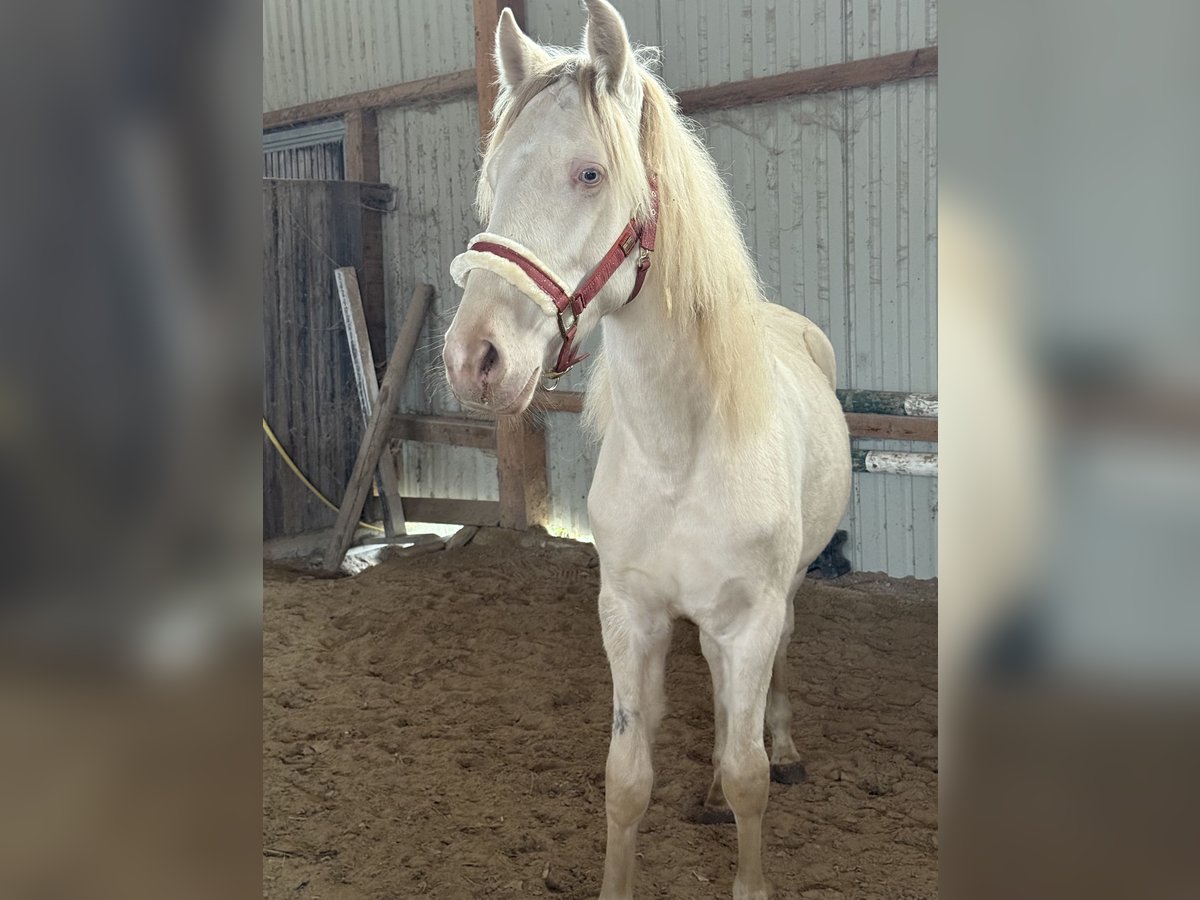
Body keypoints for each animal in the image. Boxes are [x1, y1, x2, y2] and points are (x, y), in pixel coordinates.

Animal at [442, 3, 851, 897]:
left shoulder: (751, 617)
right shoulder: (629, 615)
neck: (680, 454)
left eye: (591, 174)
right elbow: (627, 777)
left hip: (786, 596)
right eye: (494, 180)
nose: (472, 358)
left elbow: (750, 776)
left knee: (770, 687)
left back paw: (786, 746)